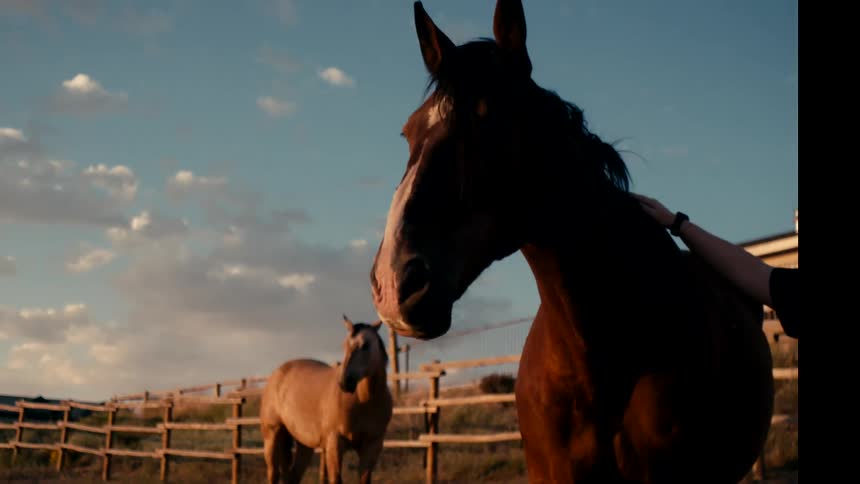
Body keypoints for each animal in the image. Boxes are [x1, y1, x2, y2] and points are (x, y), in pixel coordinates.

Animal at [259, 315, 393, 484]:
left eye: (365, 345)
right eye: (344, 346)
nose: (344, 382)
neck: (364, 402)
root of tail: (277, 374)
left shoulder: (371, 447)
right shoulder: (334, 444)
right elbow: (336, 479)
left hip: (304, 445)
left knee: (293, 477)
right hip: (272, 436)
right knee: (273, 473)